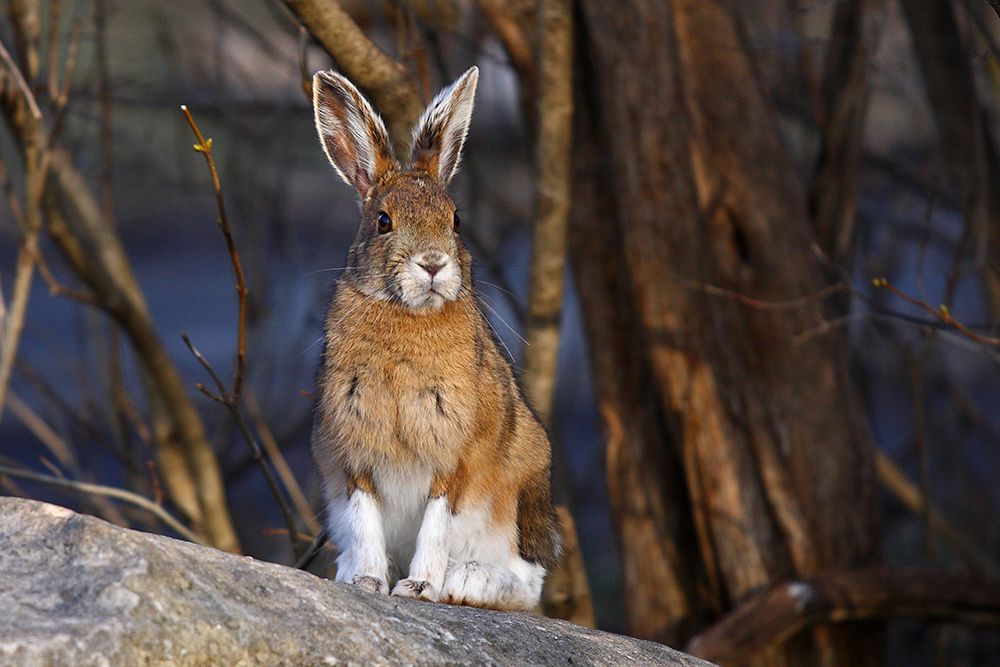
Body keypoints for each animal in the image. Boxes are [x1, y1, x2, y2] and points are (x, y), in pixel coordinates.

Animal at [309, 65, 561, 611]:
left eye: (456, 220)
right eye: (383, 221)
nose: (432, 264)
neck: (409, 316)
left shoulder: (456, 454)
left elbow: (437, 520)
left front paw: (420, 587)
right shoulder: (353, 450)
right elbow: (365, 518)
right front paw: (367, 582)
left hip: (516, 495)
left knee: (527, 582)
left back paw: (465, 582)